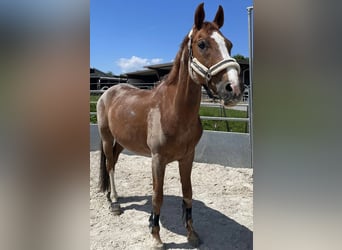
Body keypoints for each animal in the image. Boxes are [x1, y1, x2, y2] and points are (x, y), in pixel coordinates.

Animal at [96, 2, 243, 249]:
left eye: (229, 44)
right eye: (202, 44)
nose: (233, 88)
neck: (173, 111)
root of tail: (109, 91)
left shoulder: (187, 157)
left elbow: (188, 192)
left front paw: (192, 234)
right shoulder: (158, 160)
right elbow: (158, 196)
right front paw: (156, 236)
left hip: (122, 142)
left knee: (113, 161)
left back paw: (111, 197)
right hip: (107, 138)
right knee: (109, 165)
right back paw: (114, 202)